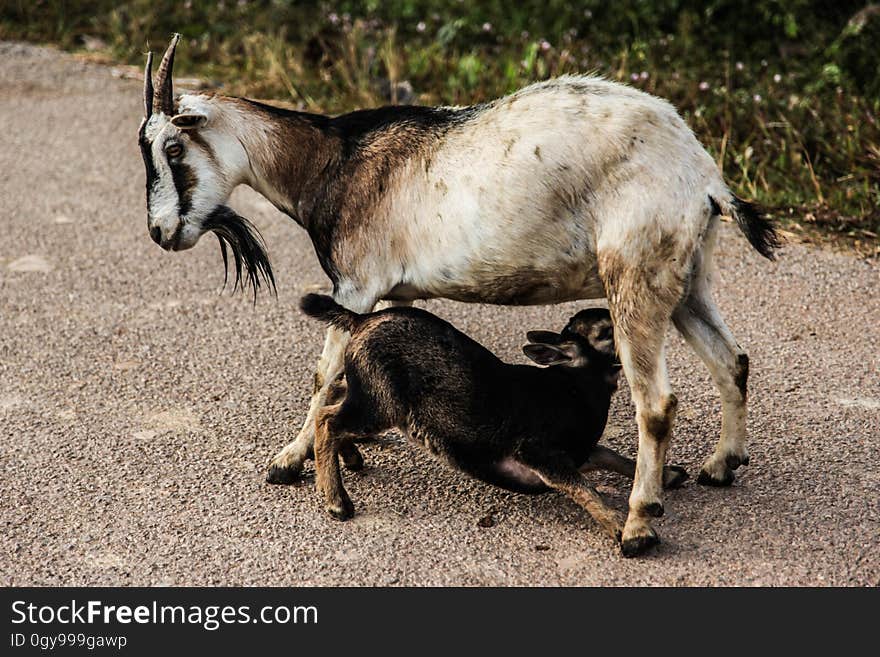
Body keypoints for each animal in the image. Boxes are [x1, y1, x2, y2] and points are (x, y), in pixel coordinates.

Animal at [138, 36, 776, 556]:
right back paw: (720, 466)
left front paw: (288, 463)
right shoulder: (380, 296)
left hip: (634, 278)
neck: (333, 162)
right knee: (732, 360)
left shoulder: (357, 286)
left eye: (173, 148)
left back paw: (640, 522)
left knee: (656, 403)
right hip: (689, 280)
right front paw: (342, 457)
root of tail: (702, 175)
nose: (161, 232)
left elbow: (323, 374)